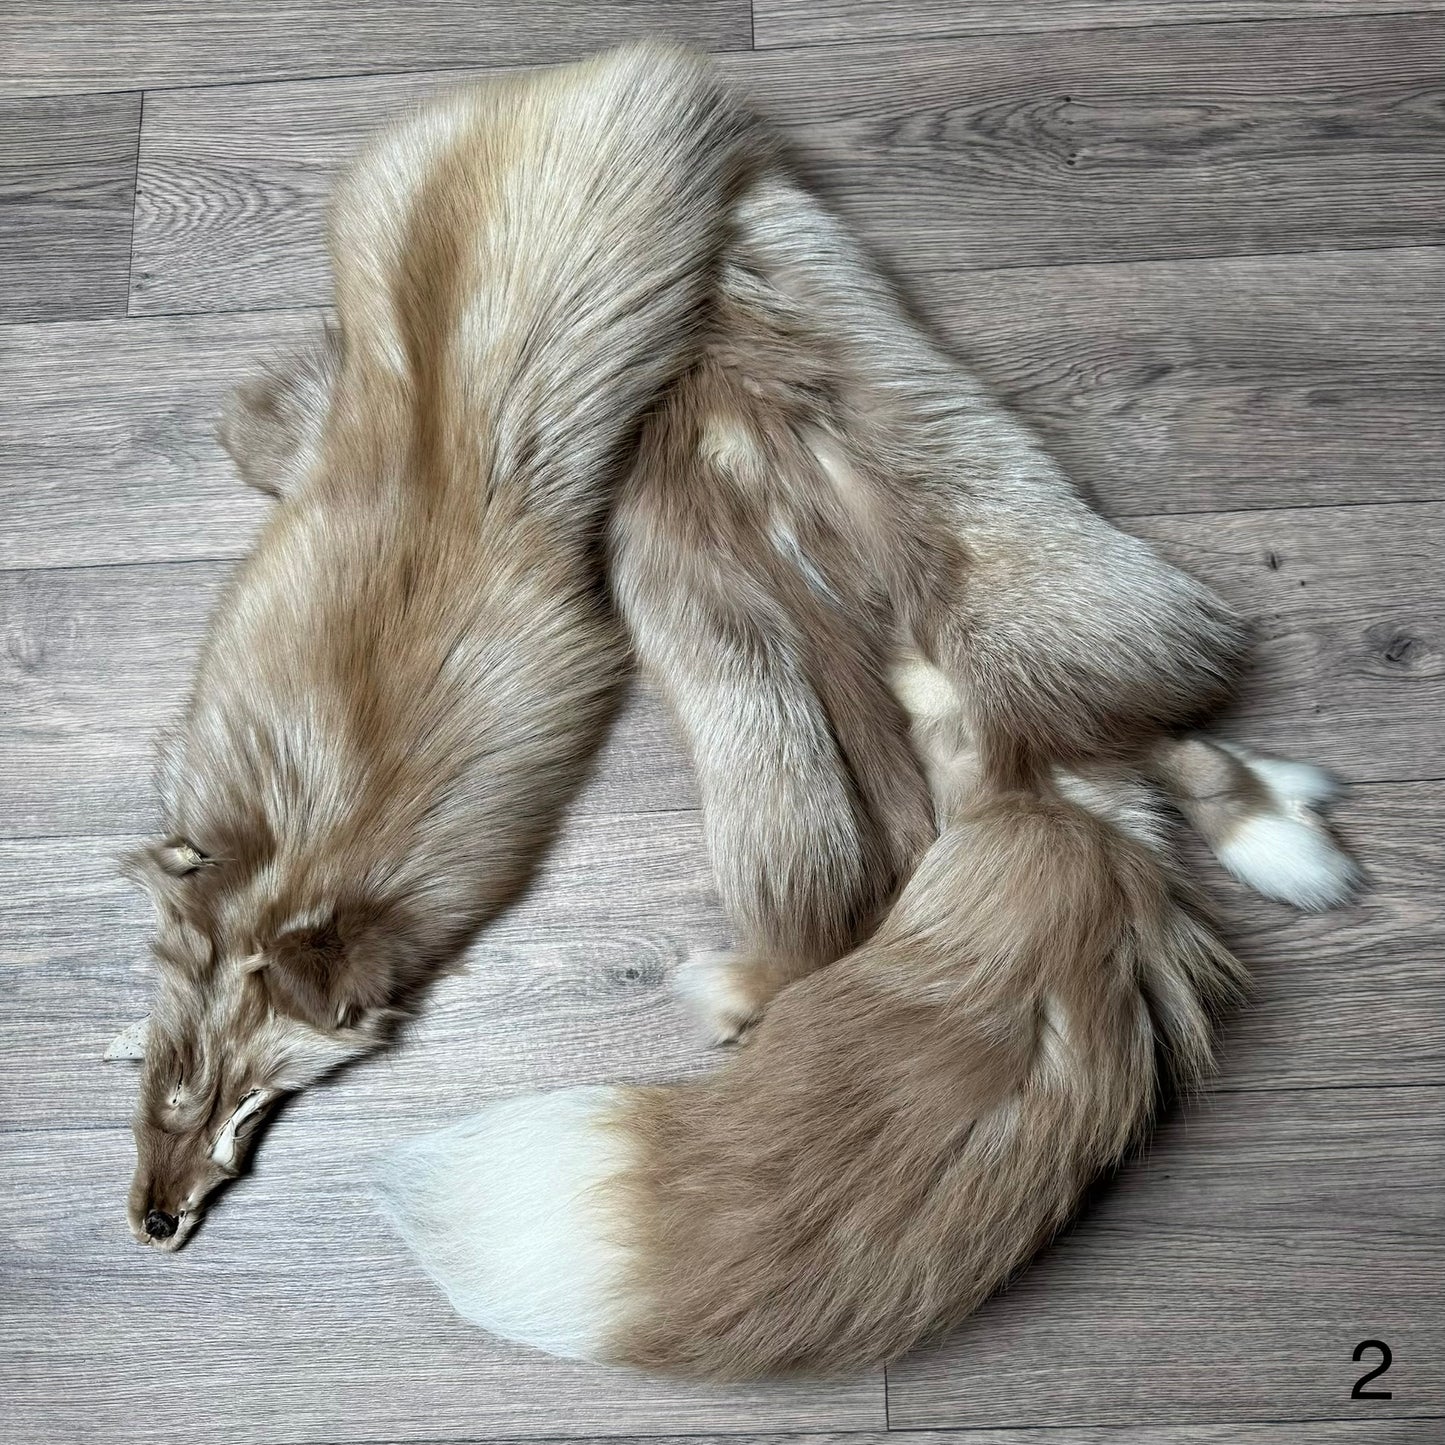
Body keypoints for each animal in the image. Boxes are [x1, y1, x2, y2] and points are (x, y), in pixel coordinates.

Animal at [372, 153, 1358, 1374]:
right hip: (1055, 638)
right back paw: (1285, 832)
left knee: (807, 942)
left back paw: (730, 992)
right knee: (1156, 742)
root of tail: (1026, 811)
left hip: (787, 793)